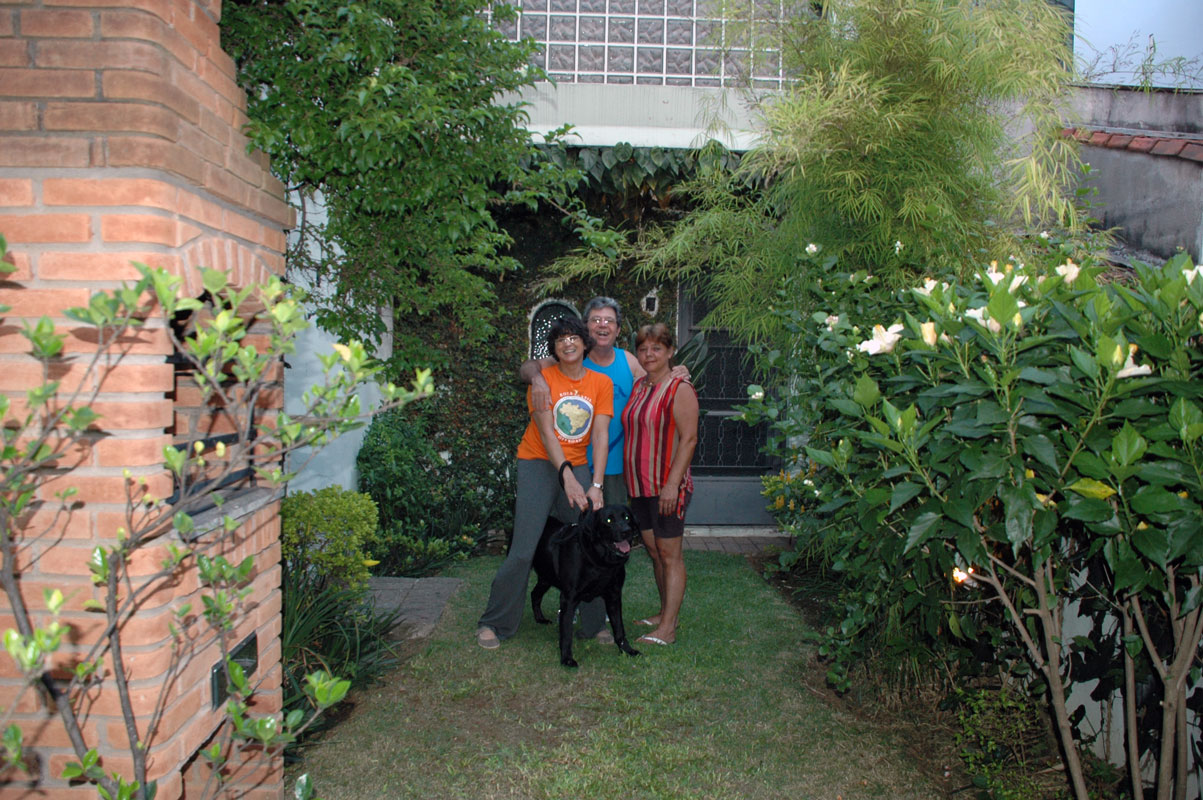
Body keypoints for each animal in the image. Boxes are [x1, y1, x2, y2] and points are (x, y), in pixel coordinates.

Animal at [531, 505, 644, 668]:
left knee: (534, 594)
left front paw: (627, 650)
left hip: (546, 577)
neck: (601, 561)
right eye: (608, 520)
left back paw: (540, 619)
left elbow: (619, 629)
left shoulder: (614, 596)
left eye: (627, 517)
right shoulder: (568, 598)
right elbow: (566, 633)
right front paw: (566, 659)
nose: (626, 531)